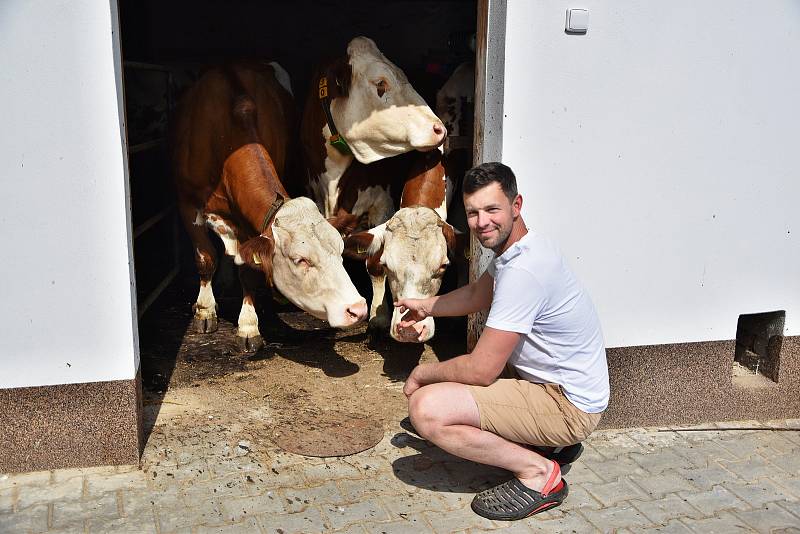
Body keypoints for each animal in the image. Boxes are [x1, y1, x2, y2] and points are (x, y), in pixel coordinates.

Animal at [173, 62, 368, 354]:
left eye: (341, 252)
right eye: (300, 260)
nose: (356, 309)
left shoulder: (247, 224)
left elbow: (247, 270)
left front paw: (248, 326)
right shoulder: (187, 204)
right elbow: (206, 258)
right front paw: (205, 310)